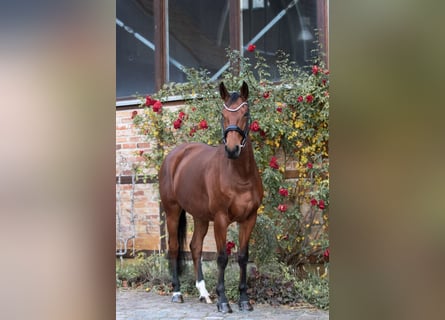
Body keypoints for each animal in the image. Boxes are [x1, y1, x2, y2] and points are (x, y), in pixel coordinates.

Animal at [159, 80, 262, 312]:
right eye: (223, 114)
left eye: (245, 113)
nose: (232, 149)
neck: (240, 176)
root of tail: (174, 155)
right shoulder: (221, 219)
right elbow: (222, 257)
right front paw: (224, 302)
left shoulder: (249, 218)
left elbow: (243, 257)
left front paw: (244, 300)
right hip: (172, 211)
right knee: (174, 247)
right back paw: (177, 292)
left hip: (201, 216)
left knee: (195, 247)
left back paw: (204, 293)